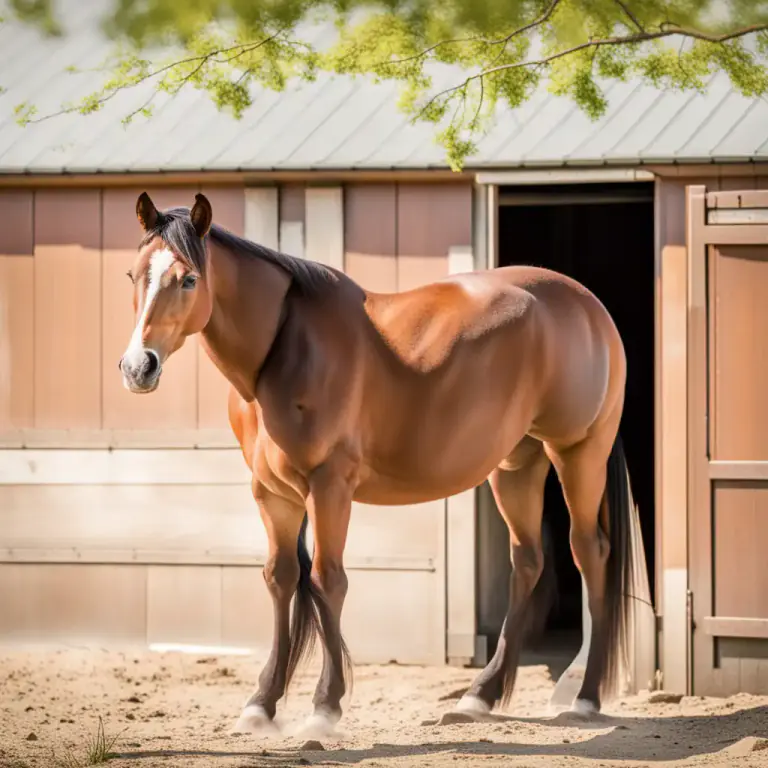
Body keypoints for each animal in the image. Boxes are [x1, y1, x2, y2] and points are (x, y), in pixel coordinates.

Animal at [119, 190, 639, 736]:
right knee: (529, 561)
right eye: (134, 275)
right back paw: (480, 695)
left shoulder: (330, 486)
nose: (138, 366)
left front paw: (325, 706)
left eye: (188, 279)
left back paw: (584, 697)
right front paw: (262, 703)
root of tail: (589, 306)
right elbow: (281, 579)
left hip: (577, 454)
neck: (283, 350)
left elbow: (327, 581)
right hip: (516, 465)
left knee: (590, 552)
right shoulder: (271, 494)